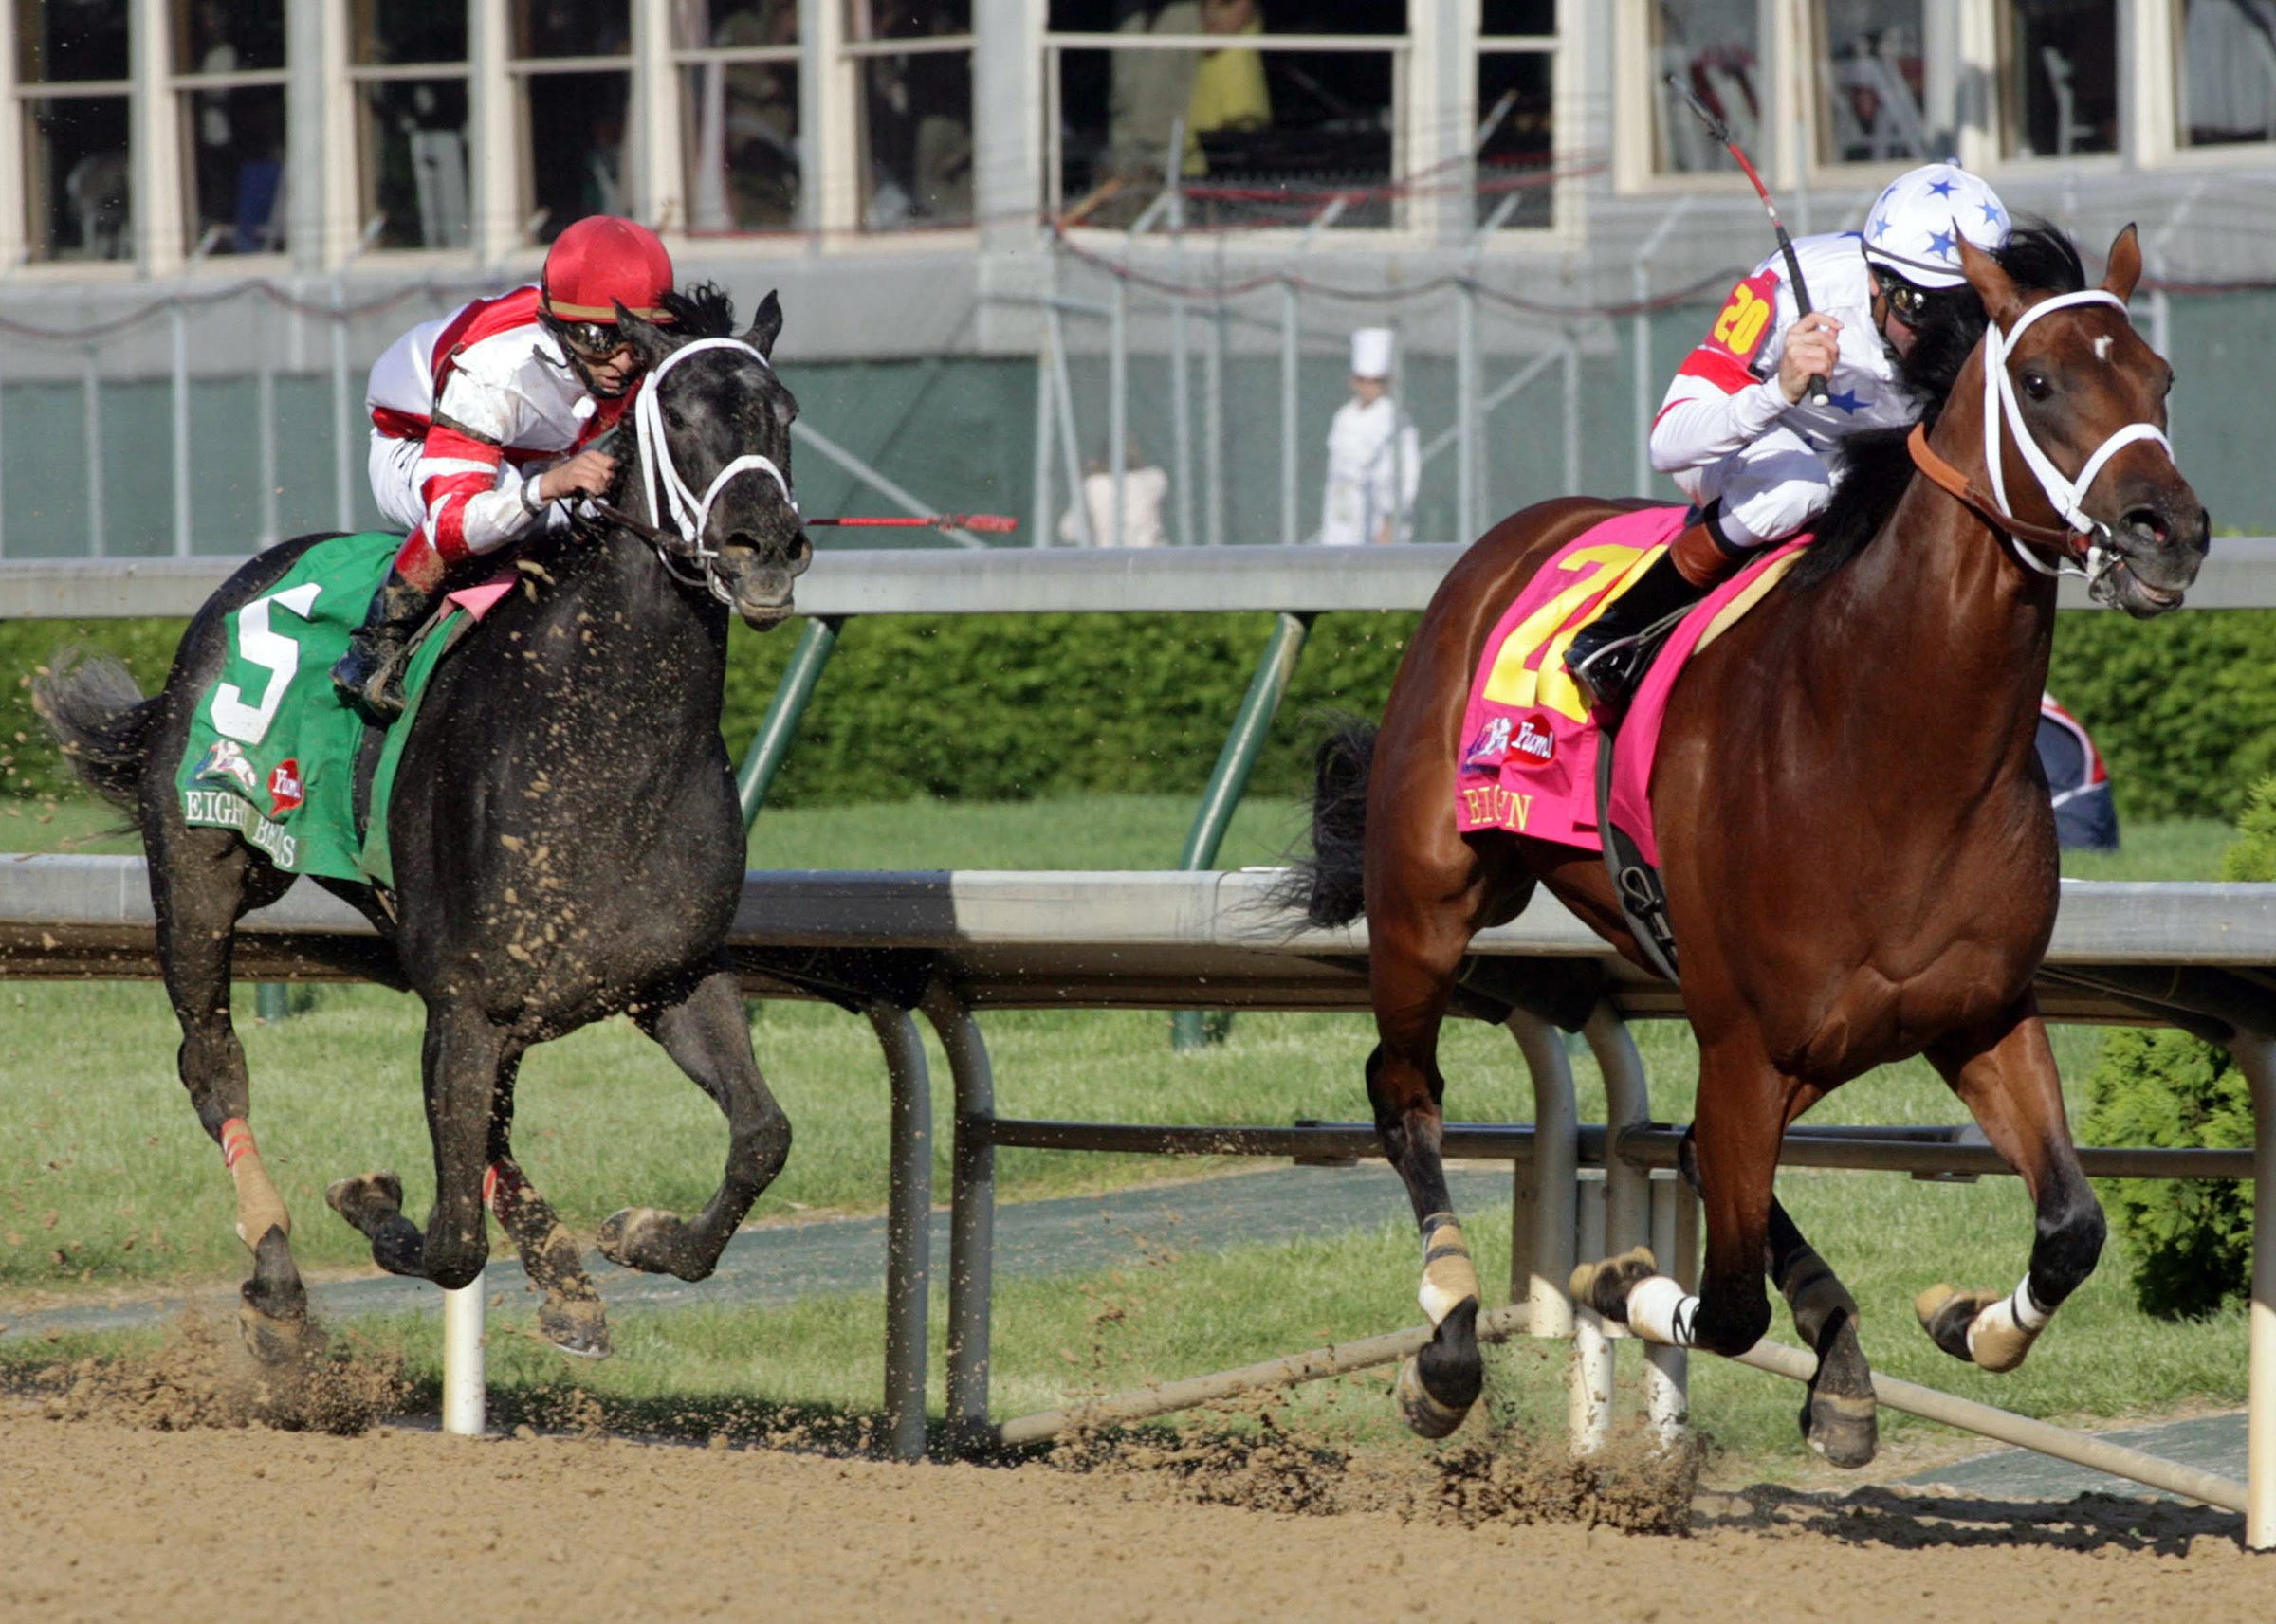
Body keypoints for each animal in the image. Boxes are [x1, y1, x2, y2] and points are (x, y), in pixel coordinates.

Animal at [40, 283, 815, 1355]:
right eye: (679, 414)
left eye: (784, 412)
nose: (765, 547)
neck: (603, 741)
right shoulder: (469, 1001)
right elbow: (449, 1242)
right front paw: (369, 1200)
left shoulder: (669, 974)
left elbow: (763, 1137)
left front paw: (640, 1236)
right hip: (200, 871)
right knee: (213, 1064)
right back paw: (277, 1285)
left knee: (492, 1125)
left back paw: (564, 1277)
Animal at [1301, 224, 2203, 1455]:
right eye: (2039, 380)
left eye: (2159, 377)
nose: (2173, 534)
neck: (1888, 749)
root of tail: (1515, 536)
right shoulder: (1743, 1039)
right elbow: (1720, 1301)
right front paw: (1614, 1279)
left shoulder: (1976, 1013)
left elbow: (2071, 1223)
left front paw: (1959, 1320)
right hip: (1428, 902)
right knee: (1403, 1091)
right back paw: (1445, 1340)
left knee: (1691, 1148)